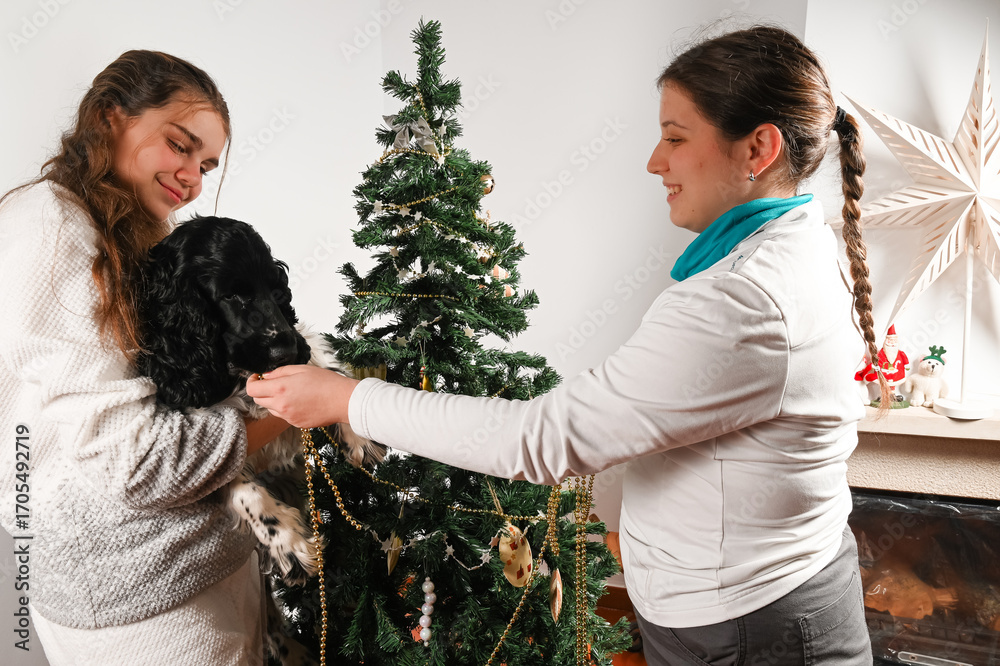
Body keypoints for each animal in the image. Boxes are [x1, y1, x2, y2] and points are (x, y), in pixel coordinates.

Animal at [135, 215, 383, 588]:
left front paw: (356, 432)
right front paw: (289, 545)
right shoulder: (202, 455)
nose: (286, 350)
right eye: (231, 294)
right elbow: (243, 491)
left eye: (276, 290)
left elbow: (323, 364)